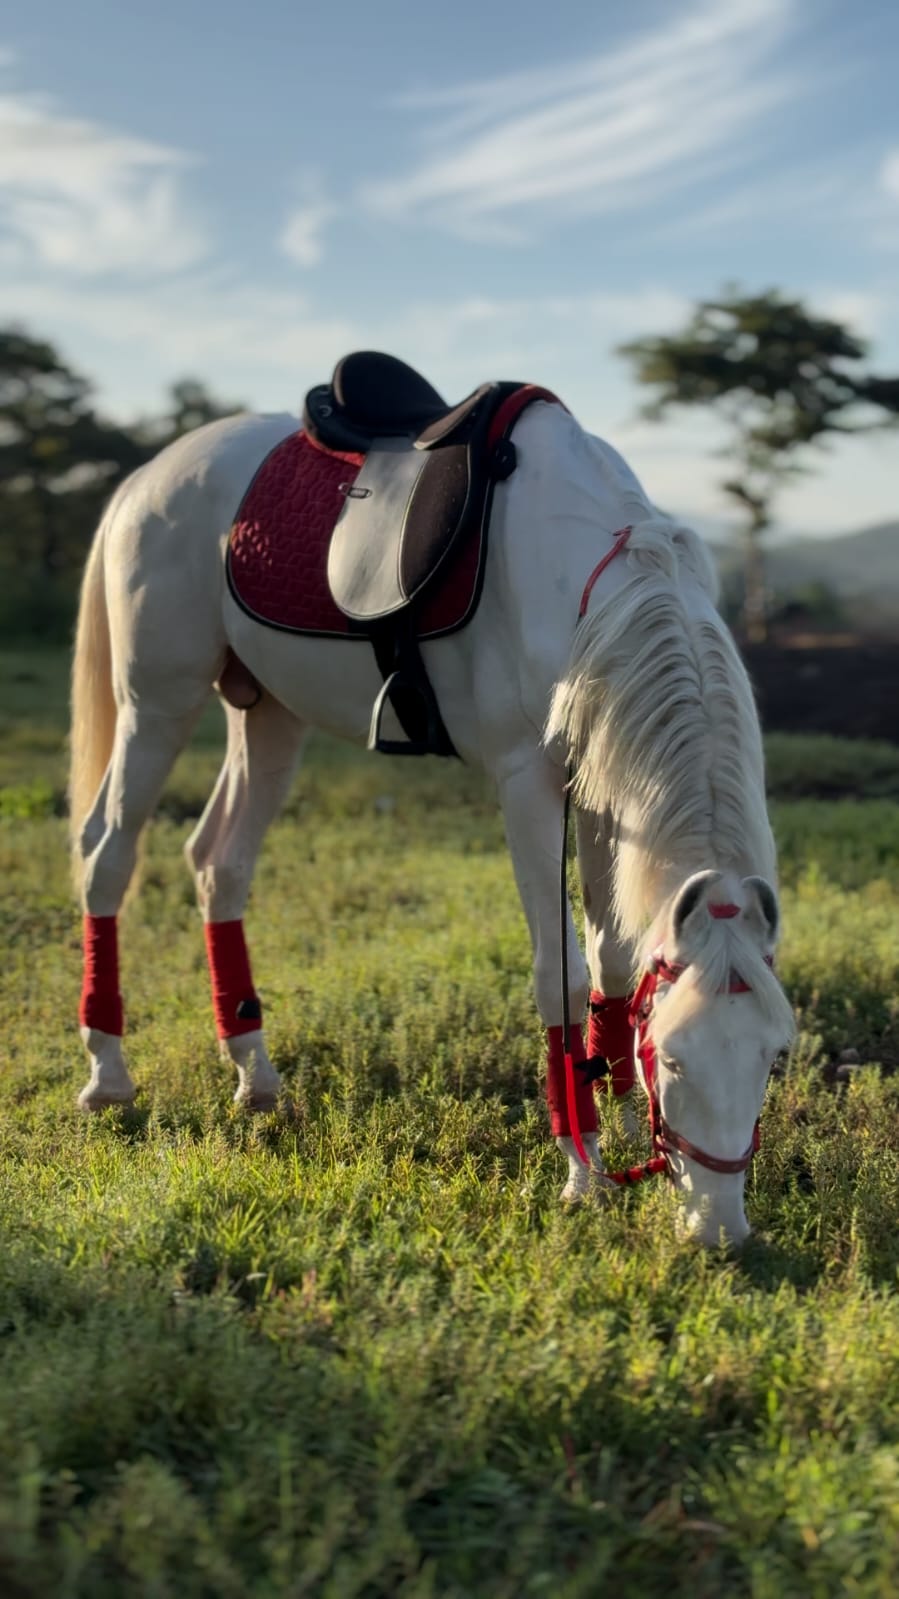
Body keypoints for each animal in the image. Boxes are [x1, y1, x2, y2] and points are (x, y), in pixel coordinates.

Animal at [69, 380, 795, 1246]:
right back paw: (108, 1071)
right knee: (108, 853)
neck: (593, 592)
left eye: (773, 1057)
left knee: (219, 859)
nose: (720, 1229)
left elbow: (614, 956)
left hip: (270, 711)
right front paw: (582, 1168)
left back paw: (254, 1072)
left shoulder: (601, 785)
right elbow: (559, 972)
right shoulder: (526, 781)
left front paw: (621, 1119)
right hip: (157, 701)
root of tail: (148, 476)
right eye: (678, 1056)